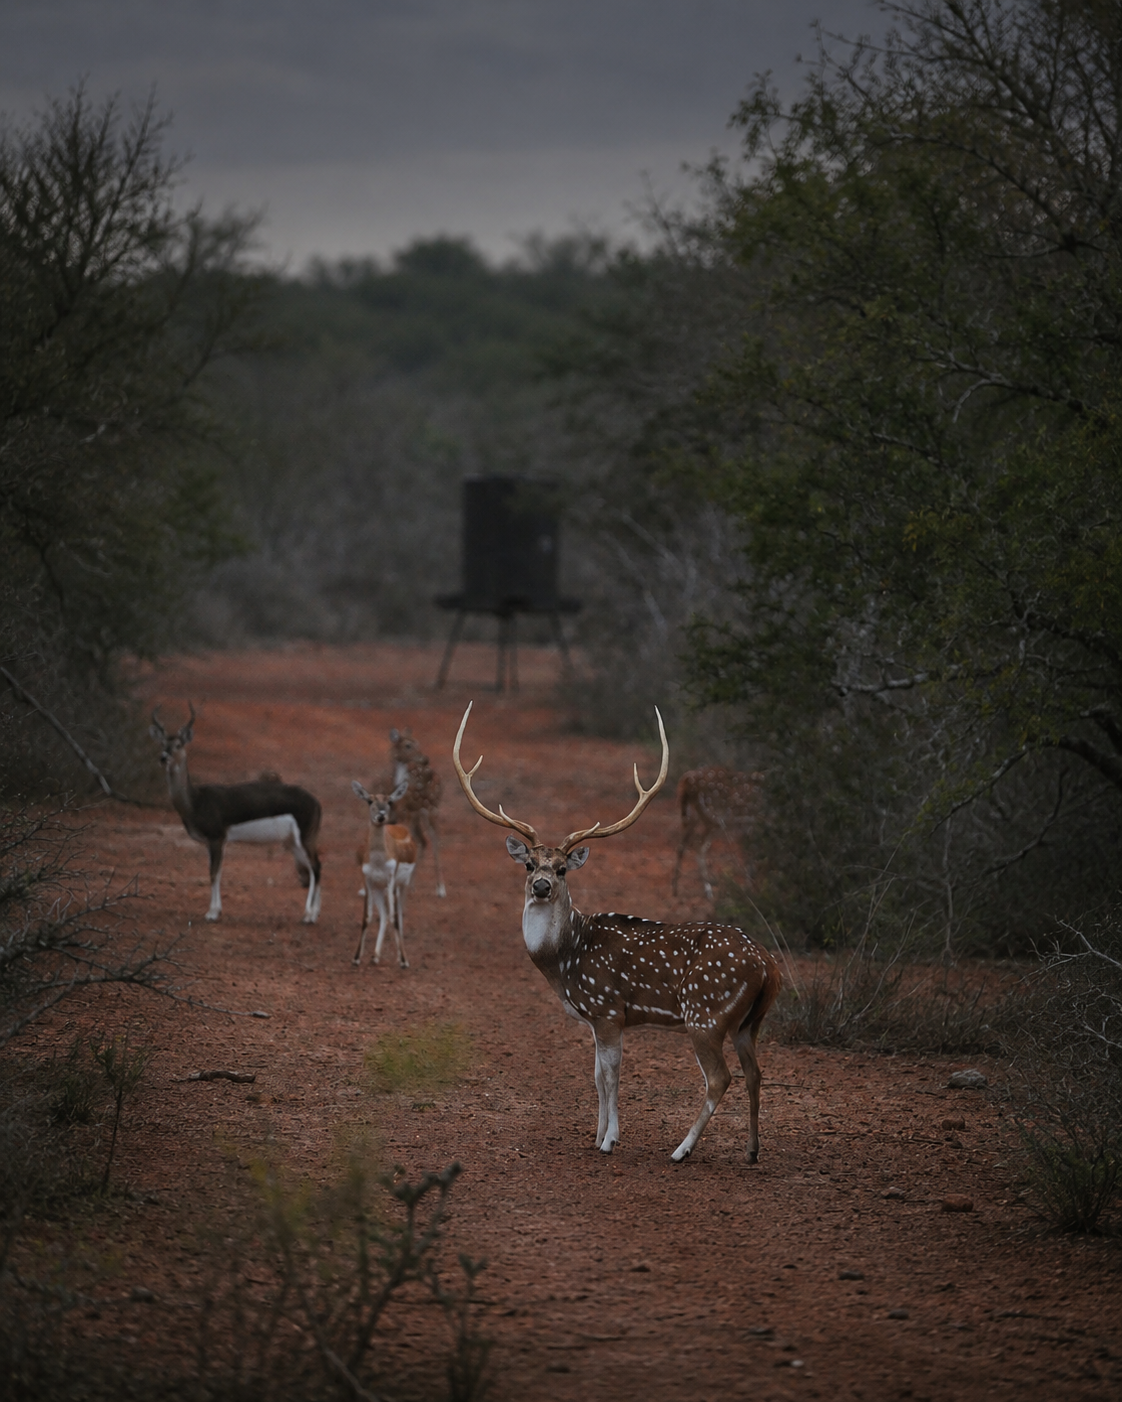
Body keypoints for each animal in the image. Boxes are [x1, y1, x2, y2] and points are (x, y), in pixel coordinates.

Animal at [150, 705, 322, 924]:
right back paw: (313, 914)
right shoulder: (215, 842)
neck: (196, 800)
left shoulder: (217, 839)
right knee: (314, 869)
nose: (163, 758)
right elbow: (216, 872)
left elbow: (214, 874)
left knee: (316, 868)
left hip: (305, 839)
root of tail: (316, 802)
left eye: (179, 744)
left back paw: (308, 916)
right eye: (163, 743)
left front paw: (212, 913)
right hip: (294, 842)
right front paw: (215, 910)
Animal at [351, 777, 417, 968]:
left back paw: (400, 957)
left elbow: (395, 918)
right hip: (379, 888)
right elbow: (367, 917)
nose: (381, 816)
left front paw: (404, 961)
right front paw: (356, 958)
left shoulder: (391, 878)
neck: (378, 861)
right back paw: (375, 956)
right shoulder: (367, 880)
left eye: (389, 801)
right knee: (384, 915)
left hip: (402, 884)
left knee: (398, 915)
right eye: (369, 800)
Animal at [388, 727, 446, 897]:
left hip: (431, 808)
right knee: (422, 841)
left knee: (434, 840)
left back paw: (440, 888)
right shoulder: (395, 816)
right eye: (408, 745)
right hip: (417, 816)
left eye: (417, 743)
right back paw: (410, 884)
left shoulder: (405, 814)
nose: (425, 759)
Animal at [671, 766, 763, 901]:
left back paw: (676, 889)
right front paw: (750, 890)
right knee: (698, 845)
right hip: (712, 817)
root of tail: (686, 779)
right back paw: (708, 891)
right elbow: (751, 854)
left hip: (695, 815)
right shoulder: (752, 822)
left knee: (683, 845)